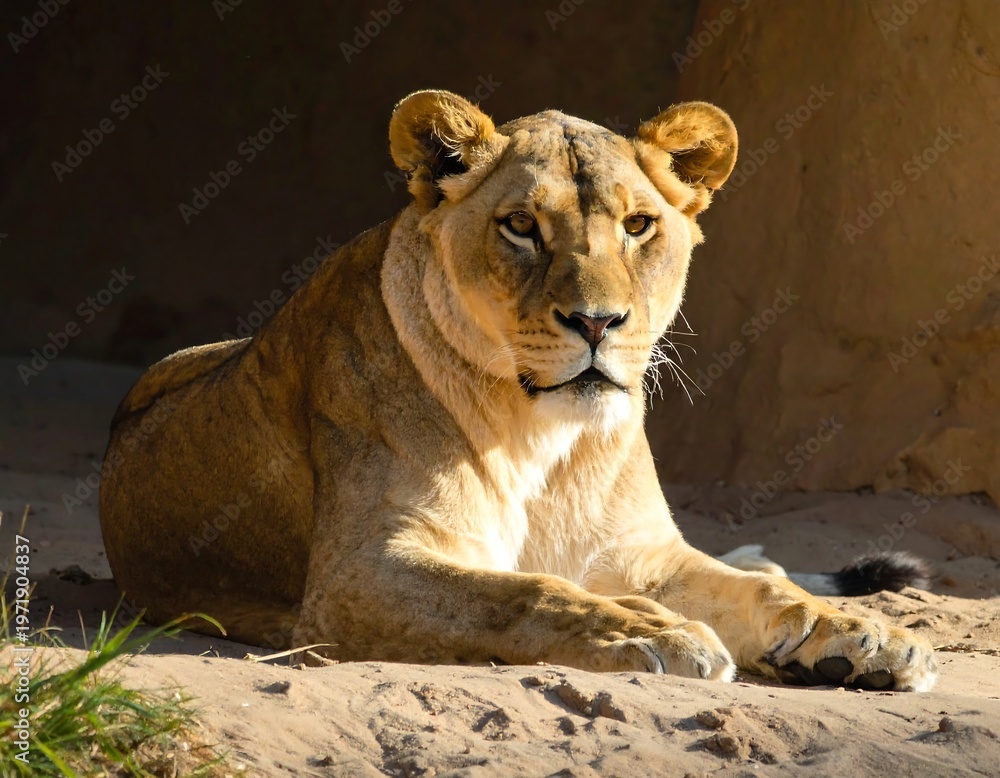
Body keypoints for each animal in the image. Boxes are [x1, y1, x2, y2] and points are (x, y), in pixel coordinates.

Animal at [99, 90, 937, 691]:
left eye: (639, 225)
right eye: (521, 226)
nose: (598, 322)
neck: (545, 438)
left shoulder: (643, 555)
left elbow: (758, 592)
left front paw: (866, 638)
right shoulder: (357, 575)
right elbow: (529, 591)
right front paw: (649, 632)